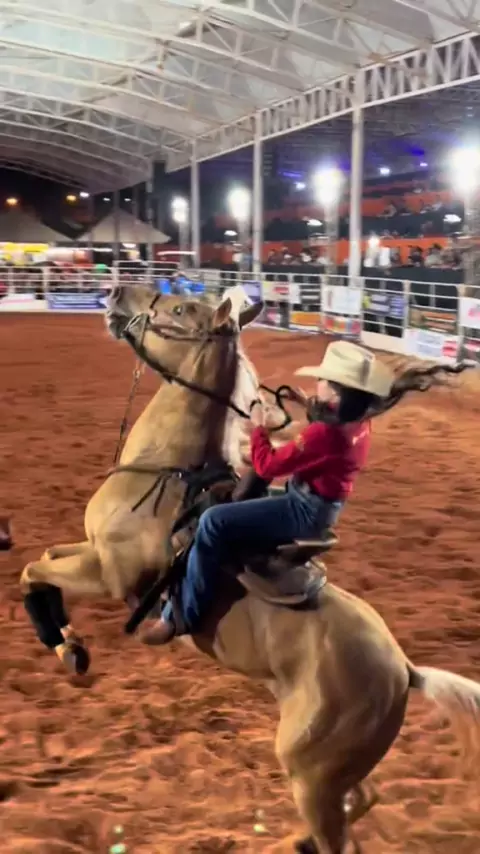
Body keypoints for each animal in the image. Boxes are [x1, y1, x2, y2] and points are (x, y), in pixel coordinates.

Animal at [21, 284, 480, 854]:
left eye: (179, 308)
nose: (117, 291)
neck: (163, 473)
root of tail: (405, 671)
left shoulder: (109, 574)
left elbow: (31, 571)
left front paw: (67, 645)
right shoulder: (89, 551)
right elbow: (41, 563)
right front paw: (70, 646)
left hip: (311, 773)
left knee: (343, 832)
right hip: (333, 770)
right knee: (365, 797)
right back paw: (299, 840)